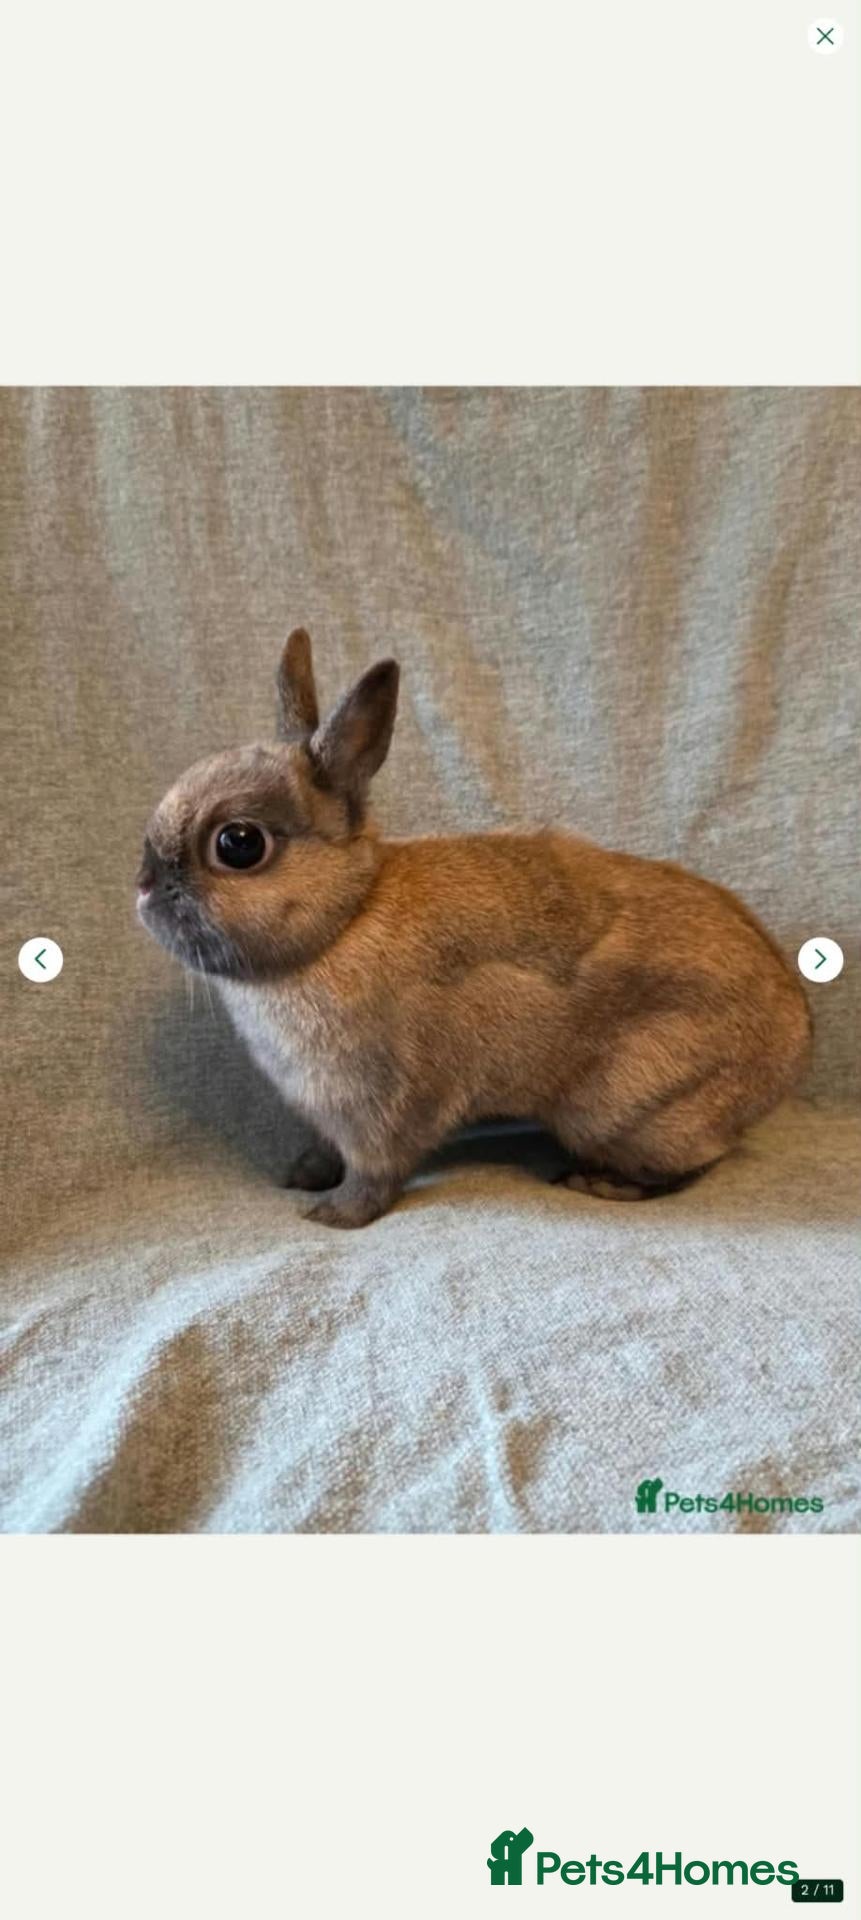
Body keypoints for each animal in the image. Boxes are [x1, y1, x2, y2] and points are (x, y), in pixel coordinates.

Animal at [136, 629, 812, 1228]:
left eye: (239, 844)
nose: (143, 888)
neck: (345, 919)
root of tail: (793, 1037)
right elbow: (329, 1151)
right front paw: (301, 1174)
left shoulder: (381, 1107)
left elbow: (375, 1172)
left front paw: (332, 1215)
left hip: (627, 1109)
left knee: (695, 1161)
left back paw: (602, 1183)